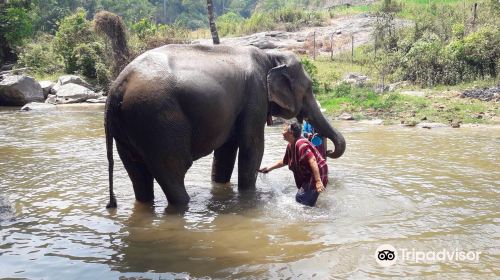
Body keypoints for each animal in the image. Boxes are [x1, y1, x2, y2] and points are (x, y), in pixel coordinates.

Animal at [104, 44, 348, 208]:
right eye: (309, 88)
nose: (327, 150)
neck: (270, 54)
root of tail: (116, 88)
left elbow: (226, 151)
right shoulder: (255, 96)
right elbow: (252, 146)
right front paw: (248, 195)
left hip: (129, 128)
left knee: (138, 173)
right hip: (157, 120)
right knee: (173, 167)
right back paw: (184, 204)